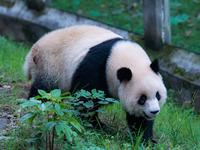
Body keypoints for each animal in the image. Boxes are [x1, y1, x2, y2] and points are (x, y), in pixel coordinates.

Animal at [23, 24, 167, 142]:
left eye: (158, 95)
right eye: (142, 98)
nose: (154, 111)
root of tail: (33, 49)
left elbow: (138, 119)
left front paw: (145, 139)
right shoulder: (97, 67)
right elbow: (85, 99)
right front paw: (93, 125)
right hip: (50, 65)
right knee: (45, 89)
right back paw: (36, 104)